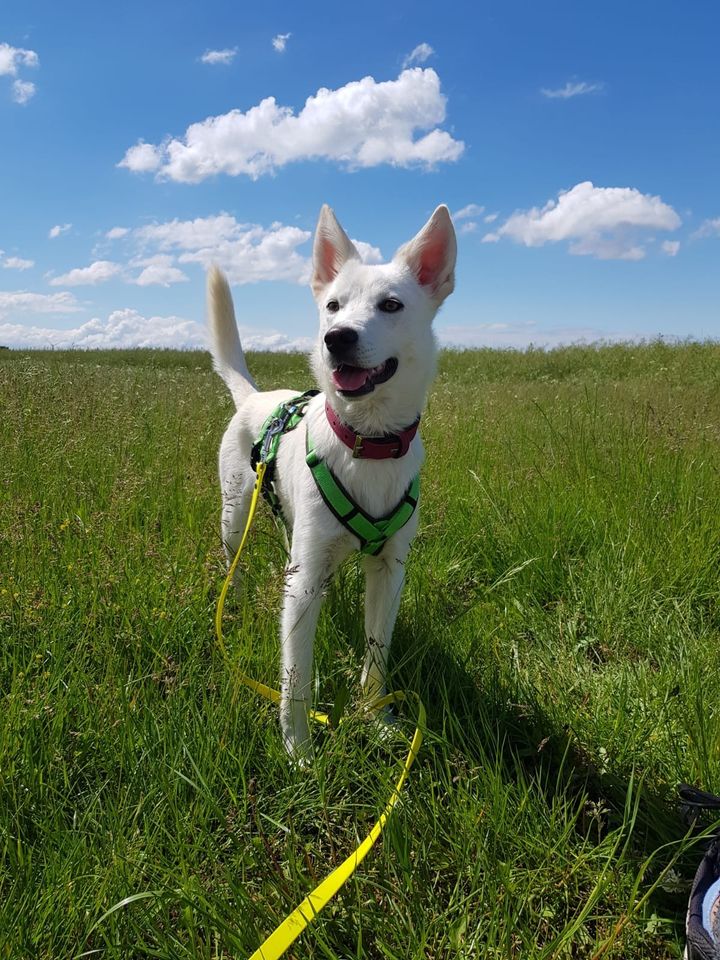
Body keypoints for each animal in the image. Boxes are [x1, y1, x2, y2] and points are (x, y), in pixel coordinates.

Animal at [208, 204, 456, 756]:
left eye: (391, 305)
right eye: (333, 305)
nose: (336, 336)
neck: (368, 442)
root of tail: (253, 397)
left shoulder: (390, 570)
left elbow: (377, 656)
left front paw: (375, 718)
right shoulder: (302, 590)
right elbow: (296, 675)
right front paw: (298, 748)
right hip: (235, 515)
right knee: (235, 562)